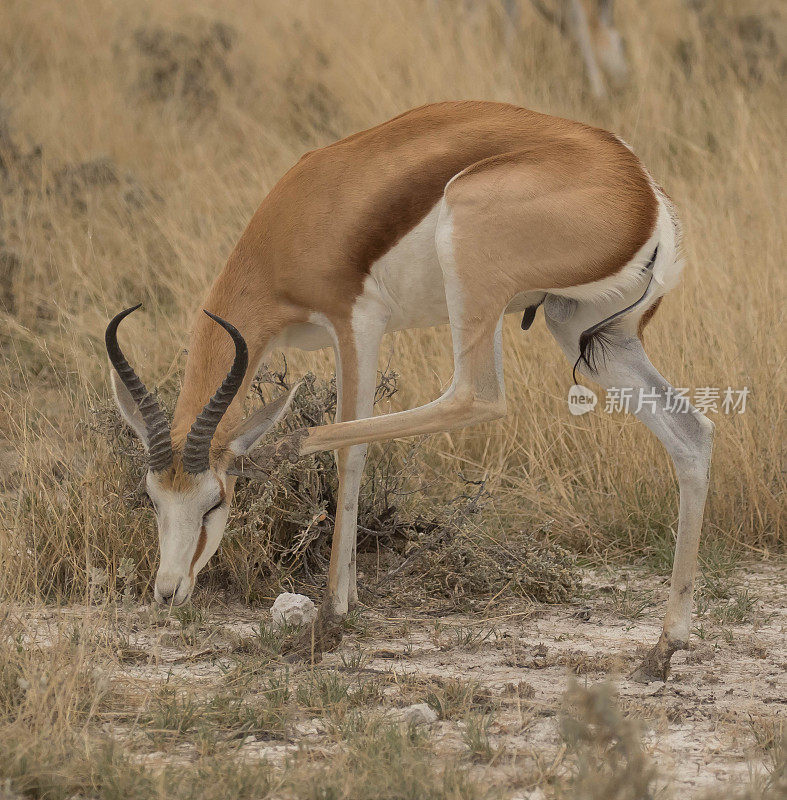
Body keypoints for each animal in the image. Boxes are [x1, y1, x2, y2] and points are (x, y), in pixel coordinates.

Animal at [107, 97, 716, 680]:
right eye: (151, 498)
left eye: (215, 501)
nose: (168, 592)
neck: (296, 218)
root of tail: (640, 186)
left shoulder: (357, 322)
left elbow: (350, 450)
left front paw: (331, 618)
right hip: (582, 328)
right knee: (691, 433)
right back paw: (662, 649)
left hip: (478, 282)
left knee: (474, 395)